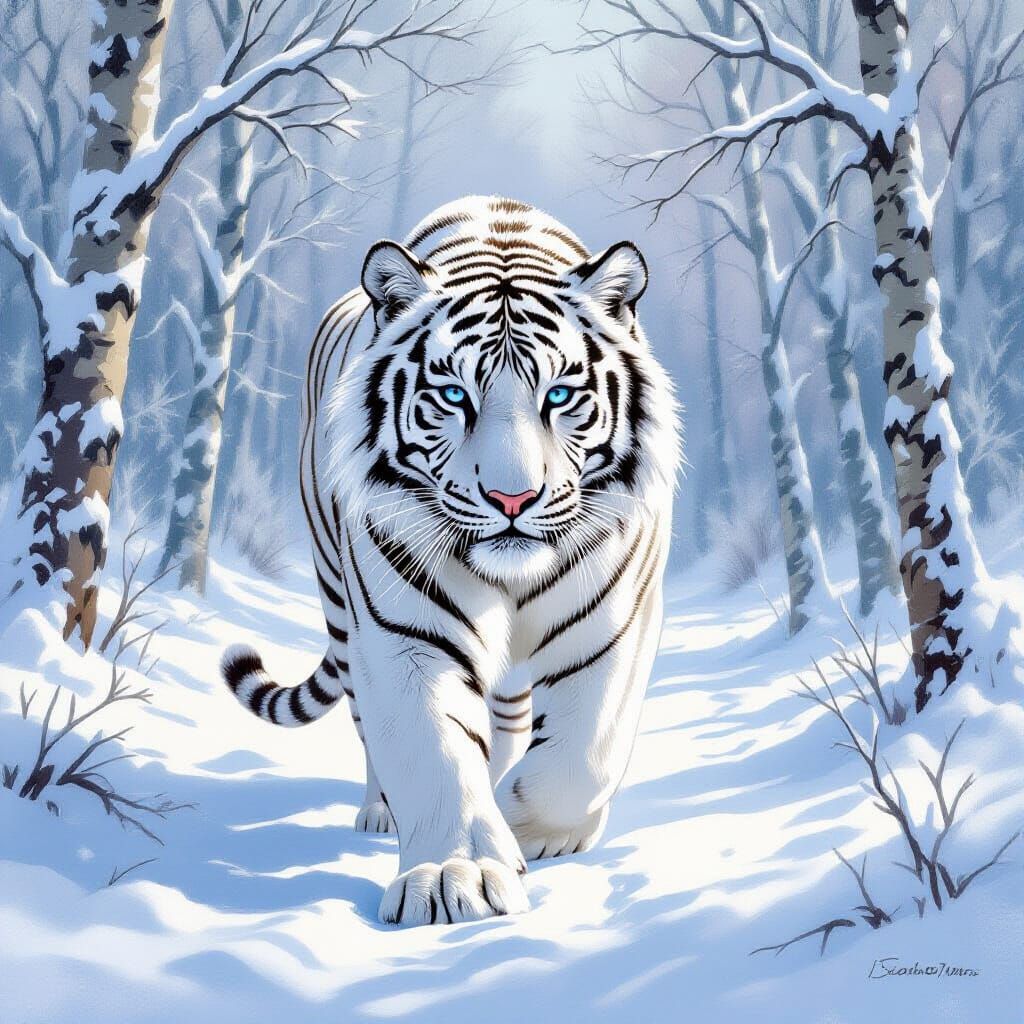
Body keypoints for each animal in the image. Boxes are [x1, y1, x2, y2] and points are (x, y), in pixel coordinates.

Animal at [221, 196, 680, 927]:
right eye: (455, 396)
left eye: (559, 396)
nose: (512, 497)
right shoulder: (405, 631)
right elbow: (432, 748)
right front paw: (454, 878)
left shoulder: (614, 625)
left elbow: (580, 758)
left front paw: (529, 831)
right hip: (338, 597)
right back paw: (382, 811)